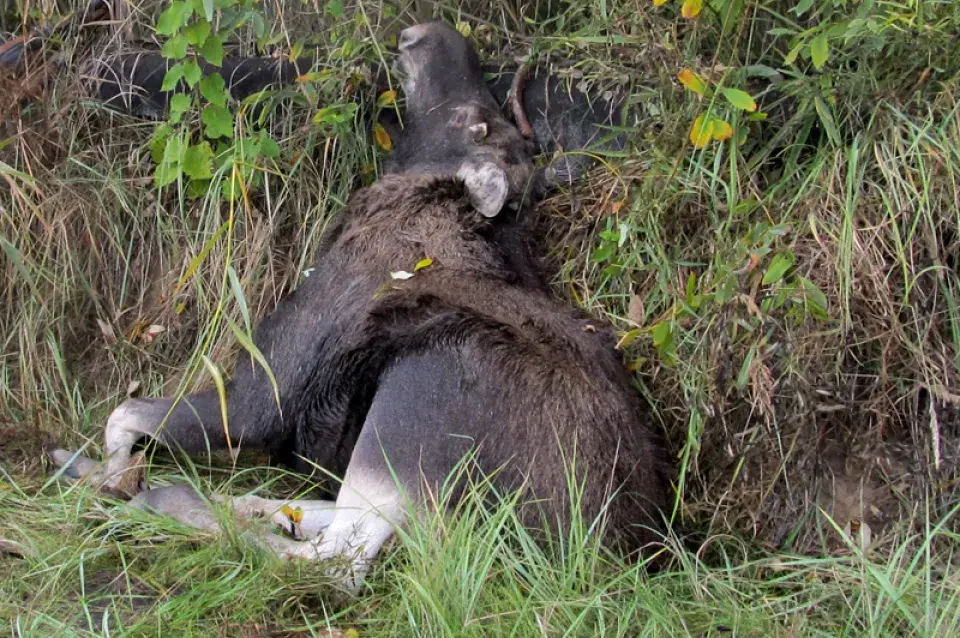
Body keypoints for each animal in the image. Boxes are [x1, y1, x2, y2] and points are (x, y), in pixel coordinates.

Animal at [50, 22, 668, 596]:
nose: (429, 32)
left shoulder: (262, 396)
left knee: (338, 562)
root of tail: (614, 563)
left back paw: (175, 502)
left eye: (469, 118)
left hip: (420, 399)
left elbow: (123, 415)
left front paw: (108, 477)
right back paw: (249, 505)